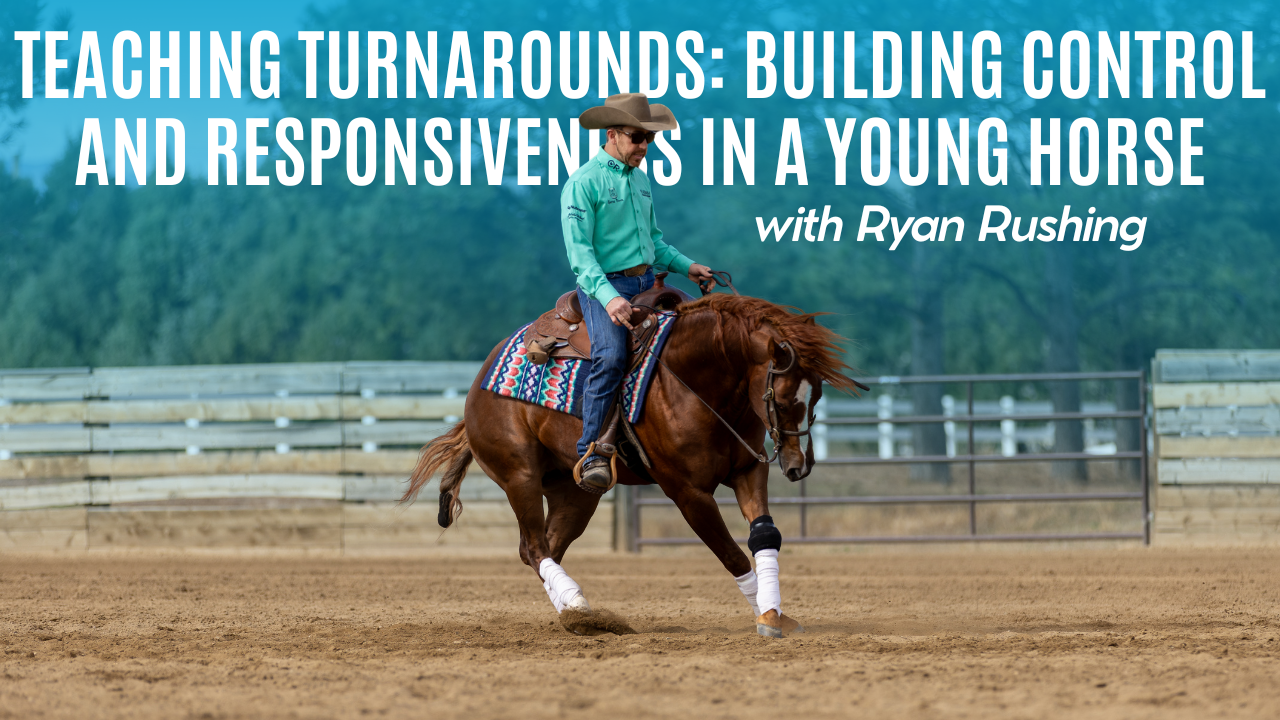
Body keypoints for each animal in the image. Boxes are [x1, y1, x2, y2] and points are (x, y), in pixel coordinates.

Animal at [401, 293, 860, 637]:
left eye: (817, 395)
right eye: (782, 398)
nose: (799, 465)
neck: (694, 380)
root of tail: (481, 381)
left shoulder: (749, 472)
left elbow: (765, 535)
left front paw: (772, 612)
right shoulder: (688, 493)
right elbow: (730, 554)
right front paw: (766, 616)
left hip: (575, 492)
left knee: (543, 547)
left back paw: (576, 612)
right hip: (520, 477)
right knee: (534, 546)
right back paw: (580, 608)